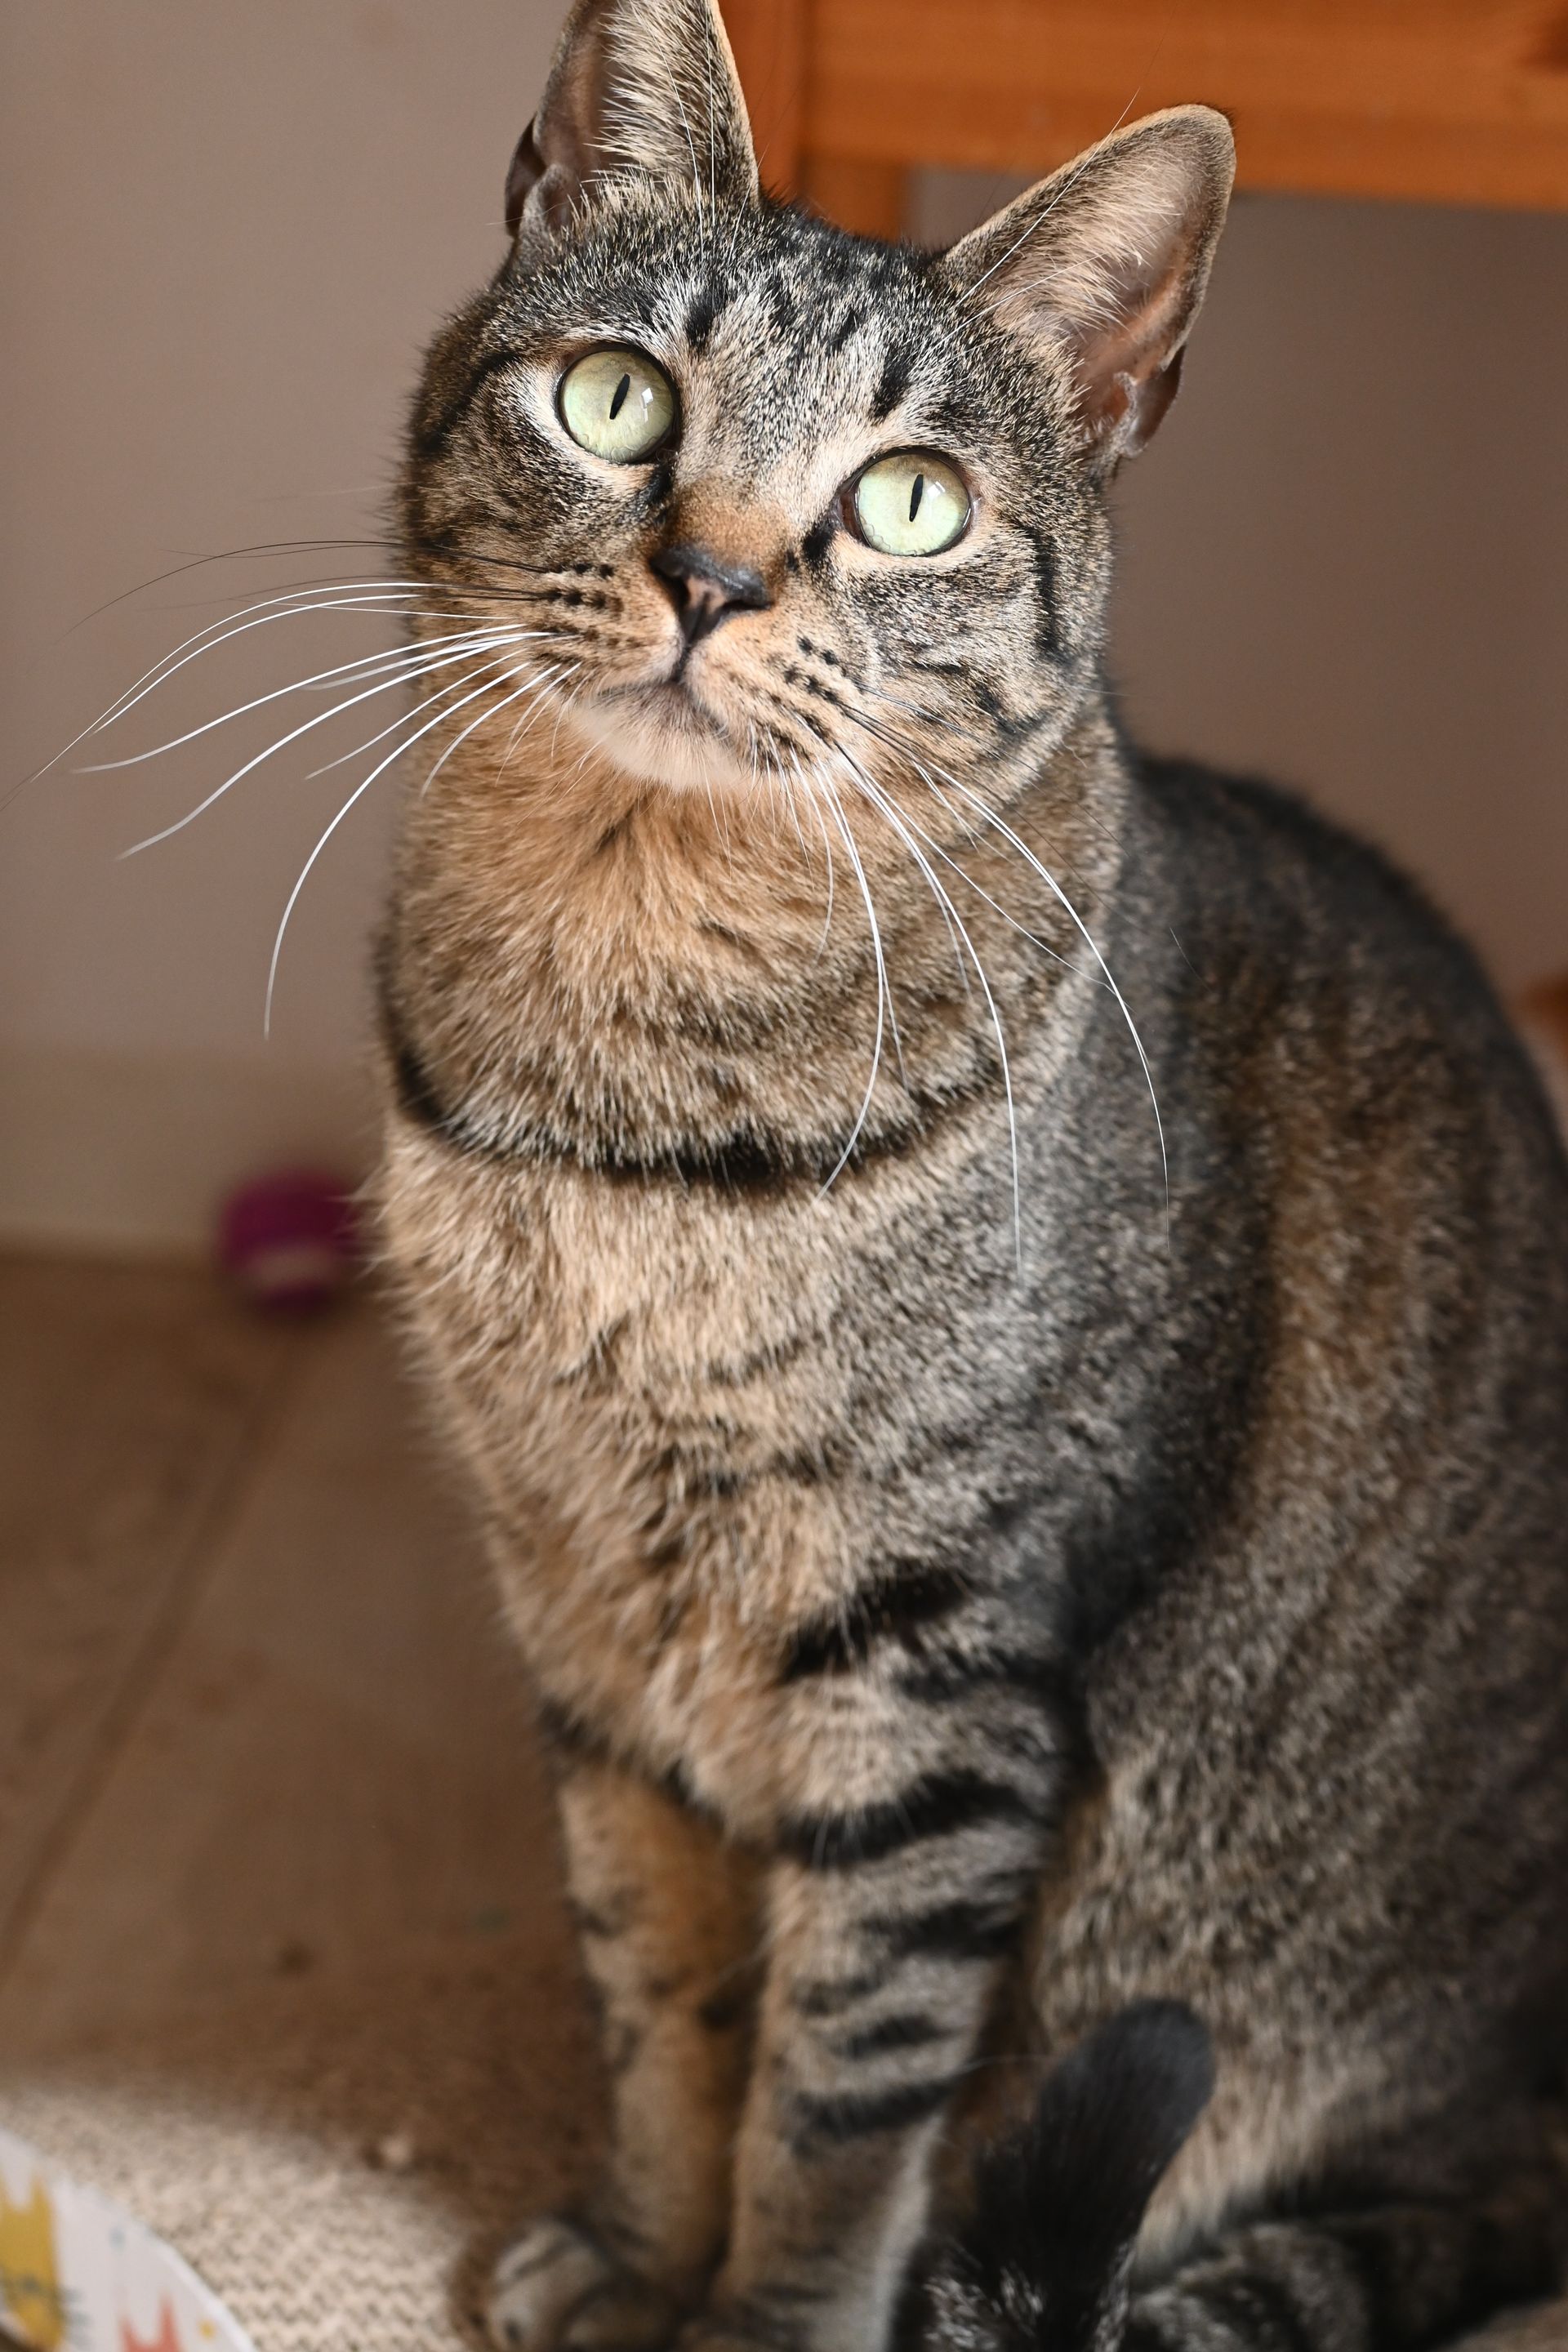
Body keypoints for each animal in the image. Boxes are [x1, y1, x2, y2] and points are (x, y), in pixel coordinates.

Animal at [373, 4, 1568, 2352]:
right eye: (615, 398)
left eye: (907, 502)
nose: (713, 577)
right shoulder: (585, 1625)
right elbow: (660, 1999)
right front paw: (637, 2252)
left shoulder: (932, 1678)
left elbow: (837, 2109)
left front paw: (756, 2325)